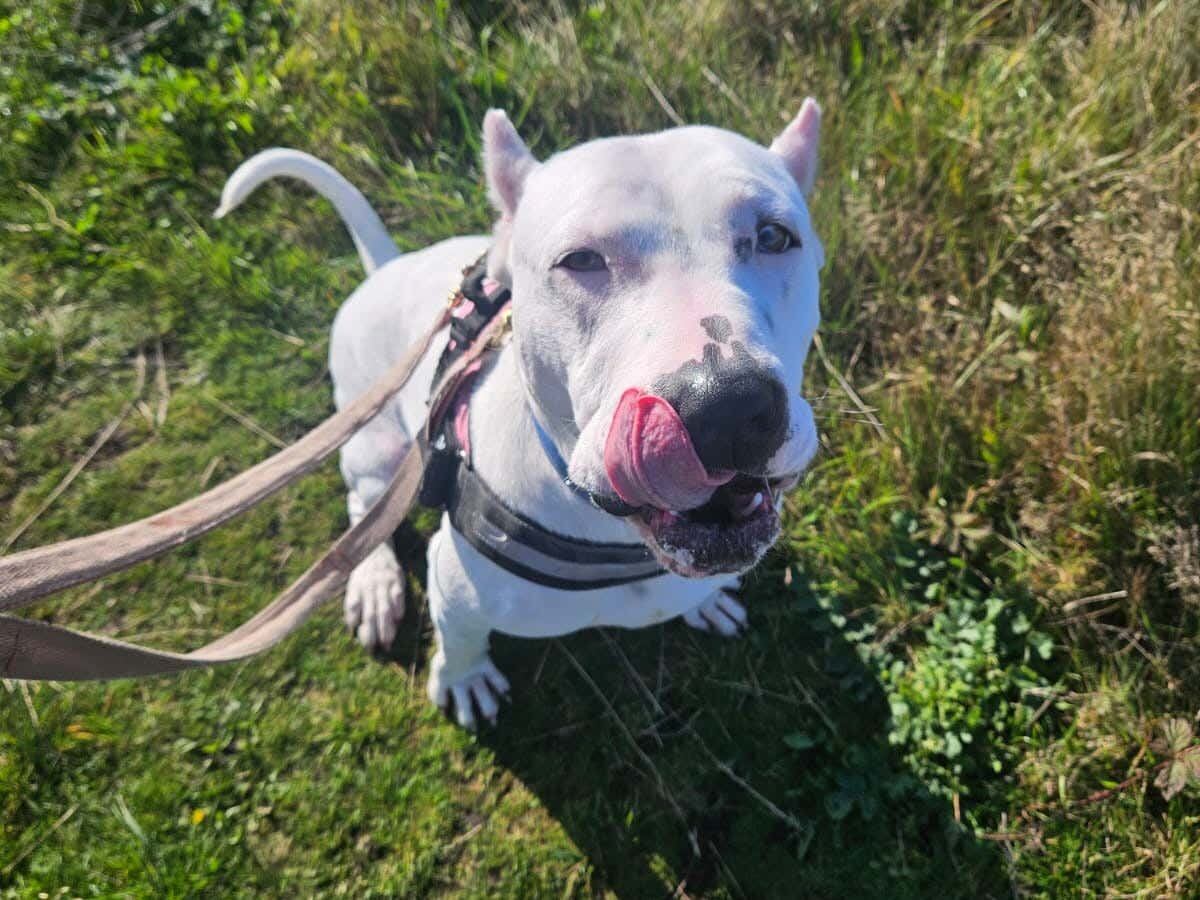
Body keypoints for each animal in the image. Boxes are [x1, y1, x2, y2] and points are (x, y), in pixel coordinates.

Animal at [218, 102, 825, 729]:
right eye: (579, 260)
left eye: (774, 236)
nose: (725, 407)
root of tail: (386, 268)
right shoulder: (454, 586)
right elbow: (461, 639)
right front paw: (462, 680)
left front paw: (707, 603)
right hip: (375, 448)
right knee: (364, 508)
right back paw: (375, 583)